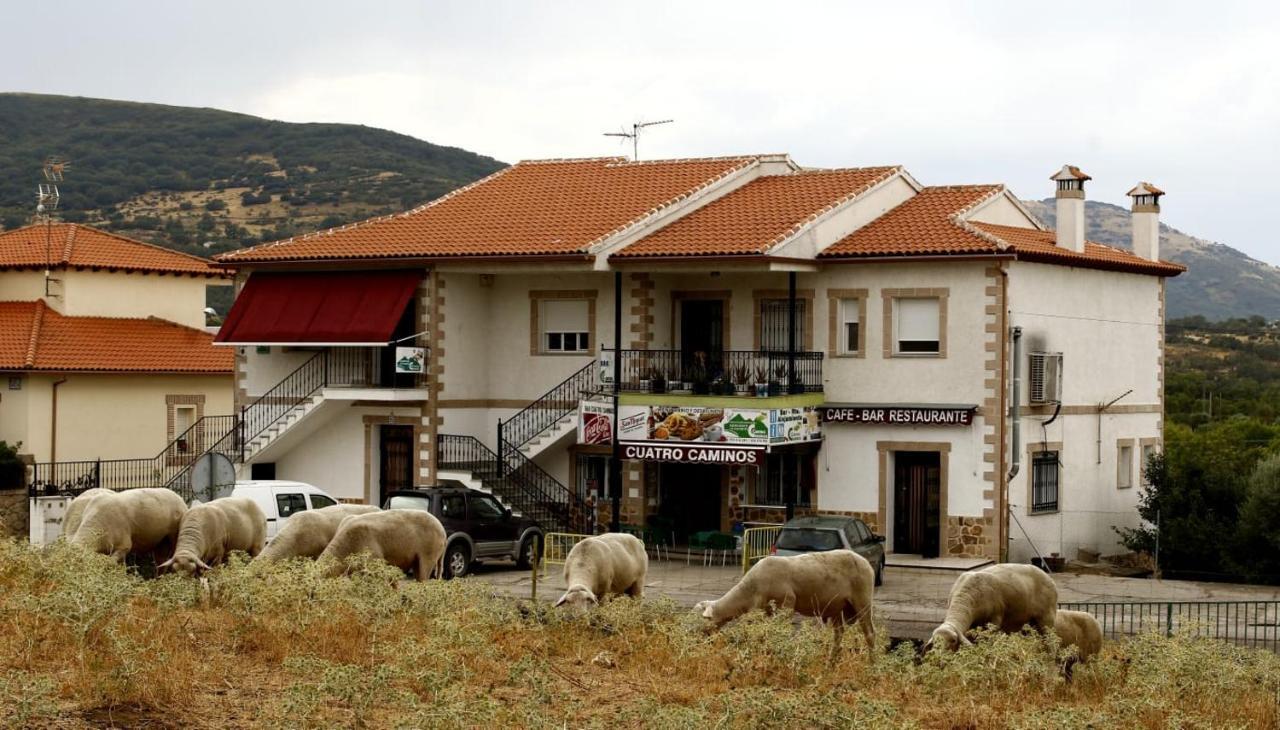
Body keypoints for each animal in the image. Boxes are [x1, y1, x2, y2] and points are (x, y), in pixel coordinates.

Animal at [696, 545, 875, 653]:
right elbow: (765, 634)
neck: (749, 591)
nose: (695, 637)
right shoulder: (766, 610)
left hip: (862, 599)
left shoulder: (786, 603)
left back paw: (872, 666)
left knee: (870, 634)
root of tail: (865, 561)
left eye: (703, 619)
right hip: (837, 606)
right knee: (838, 636)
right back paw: (830, 665)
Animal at [926, 560, 1054, 650]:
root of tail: (1048, 577)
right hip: (1028, 623)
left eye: (953, 641)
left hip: (1046, 619)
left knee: (1051, 644)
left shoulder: (994, 620)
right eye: (935, 642)